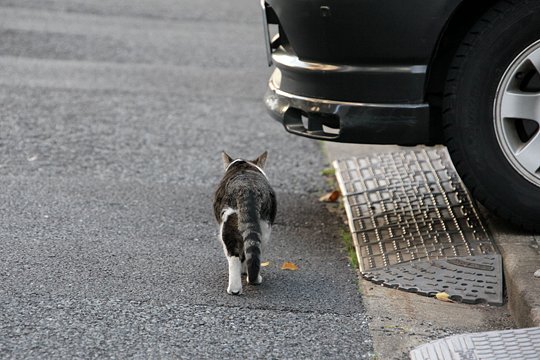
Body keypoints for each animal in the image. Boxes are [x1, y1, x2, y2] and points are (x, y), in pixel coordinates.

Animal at [212, 152, 276, 296]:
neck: (243, 164)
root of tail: (246, 187)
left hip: (228, 224)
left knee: (233, 255)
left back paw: (234, 288)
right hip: (264, 226)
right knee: (253, 251)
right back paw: (253, 278)